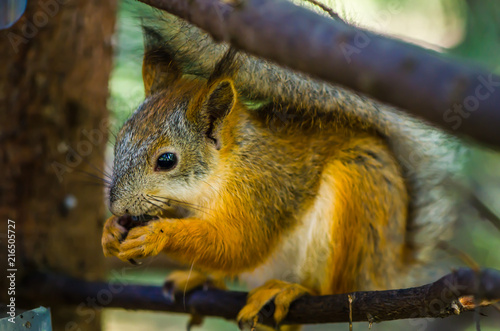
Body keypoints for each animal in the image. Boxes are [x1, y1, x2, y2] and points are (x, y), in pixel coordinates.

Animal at [100, 6, 464, 330]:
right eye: (119, 138)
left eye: (166, 161)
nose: (117, 207)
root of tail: (387, 267)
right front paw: (110, 231)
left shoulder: (264, 189)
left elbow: (239, 245)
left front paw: (157, 234)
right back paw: (201, 280)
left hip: (356, 192)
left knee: (334, 287)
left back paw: (290, 289)